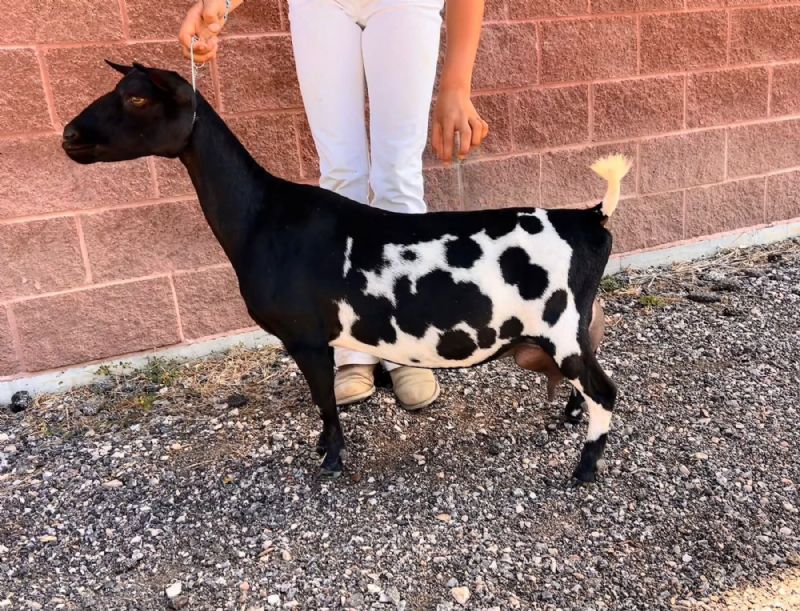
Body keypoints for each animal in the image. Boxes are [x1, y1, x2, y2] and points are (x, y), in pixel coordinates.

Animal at [62, 63, 631, 484]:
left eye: (137, 99)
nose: (69, 135)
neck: (264, 215)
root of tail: (590, 218)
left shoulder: (307, 338)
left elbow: (324, 400)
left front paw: (330, 458)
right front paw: (324, 449)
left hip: (561, 330)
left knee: (605, 392)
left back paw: (584, 469)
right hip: (574, 331)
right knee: (589, 384)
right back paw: (569, 419)